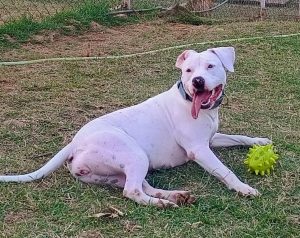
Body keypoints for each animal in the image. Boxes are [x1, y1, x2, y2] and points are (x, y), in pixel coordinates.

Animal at [0, 46, 272, 206]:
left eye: (210, 66)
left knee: (138, 185)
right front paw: (243, 188)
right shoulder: (199, 149)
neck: (197, 107)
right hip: (133, 153)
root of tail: (74, 145)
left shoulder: (212, 139)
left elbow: (239, 137)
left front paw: (260, 142)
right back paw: (163, 203)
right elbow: (225, 171)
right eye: (188, 70)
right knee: (132, 191)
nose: (197, 81)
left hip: (119, 170)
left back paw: (173, 195)